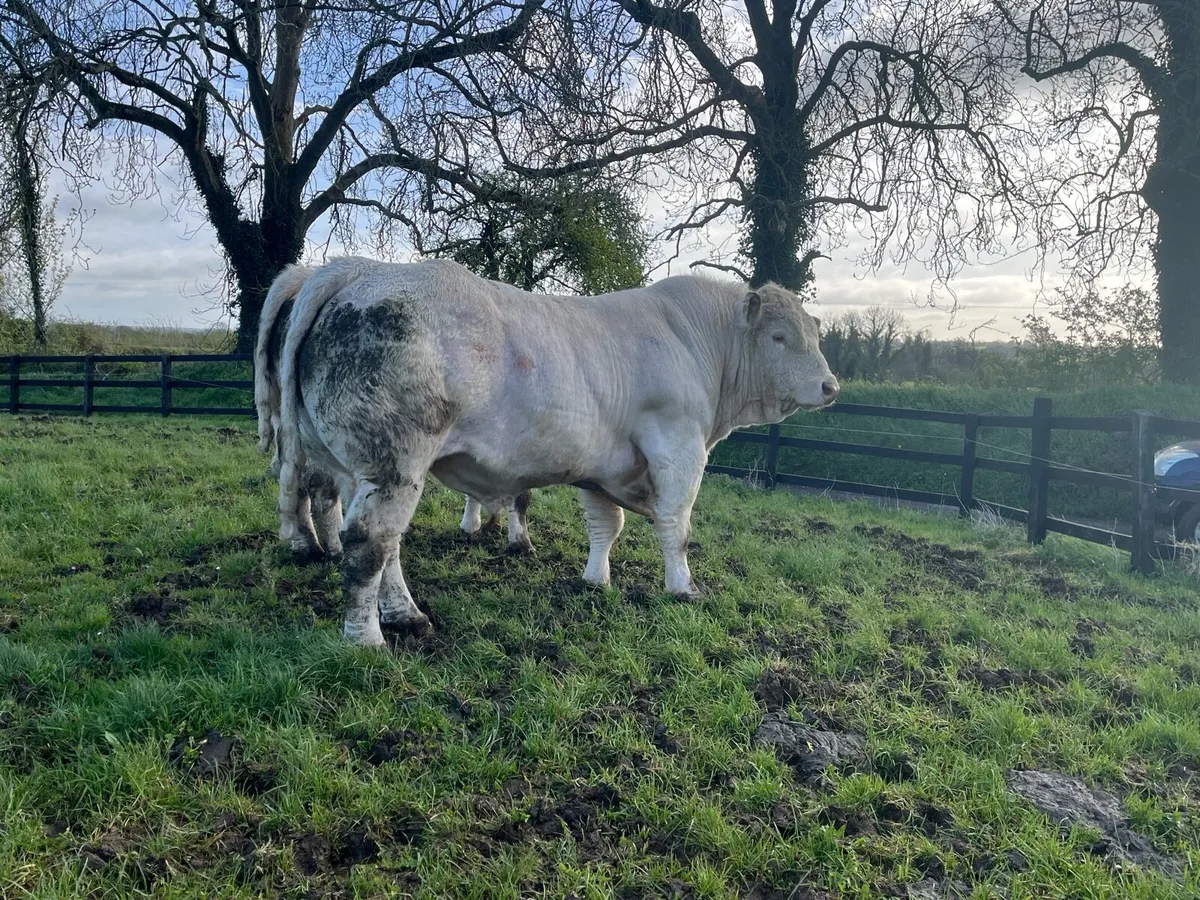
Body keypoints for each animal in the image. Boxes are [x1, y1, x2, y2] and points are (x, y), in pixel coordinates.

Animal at [253, 266, 533, 558]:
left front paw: (472, 525)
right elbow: (522, 493)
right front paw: (518, 541)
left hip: (294, 426)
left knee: (296, 480)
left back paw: (306, 545)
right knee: (322, 488)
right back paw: (333, 546)